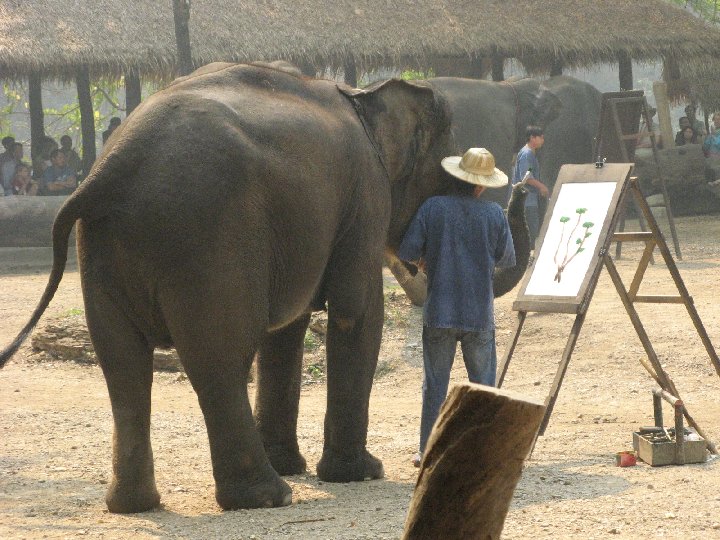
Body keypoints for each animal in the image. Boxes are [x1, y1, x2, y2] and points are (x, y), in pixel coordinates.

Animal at [1, 62, 456, 510]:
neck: (364, 97)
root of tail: (108, 169)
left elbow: (285, 330)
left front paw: (297, 465)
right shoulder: (365, 195)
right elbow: (353, 312)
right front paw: (360, 473)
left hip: (103, 249)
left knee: (123, 363)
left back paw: (135, 504)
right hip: (210, 242)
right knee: (218, 358)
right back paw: (267, 497)